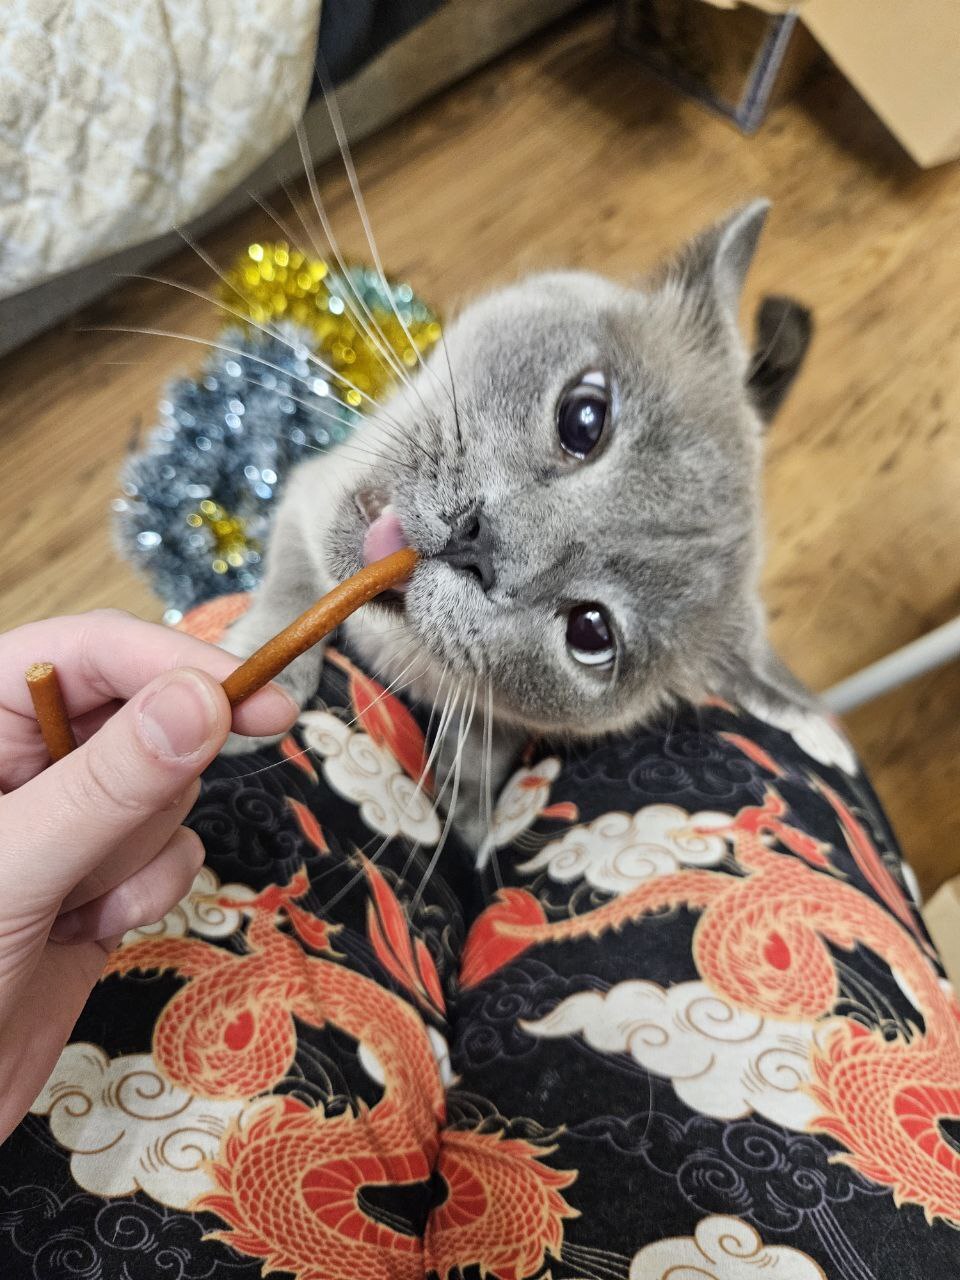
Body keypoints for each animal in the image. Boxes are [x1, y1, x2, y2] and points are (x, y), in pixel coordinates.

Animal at [222, 200, 814, 852]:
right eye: (585, 419)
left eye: (591, 633)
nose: (479, 543)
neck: (387, 642)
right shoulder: (309, 492)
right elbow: (294, 597)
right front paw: (257, 695)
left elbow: (491, 734)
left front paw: (470, 813)